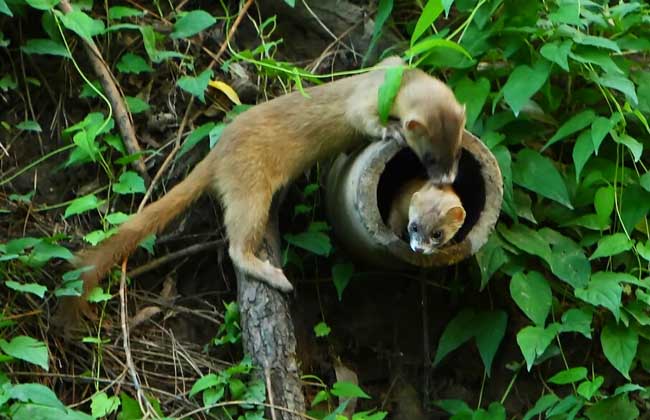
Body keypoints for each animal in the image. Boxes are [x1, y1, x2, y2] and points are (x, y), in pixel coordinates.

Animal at [64, 55, 466, 318]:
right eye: (430, 158)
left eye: (457, 150)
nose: (447, 179)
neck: (391, 81)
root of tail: (219, 150)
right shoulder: (361, 100)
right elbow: (362, 118)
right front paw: (389, 129)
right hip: (250, 189)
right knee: (237, 246)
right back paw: (274, 275)